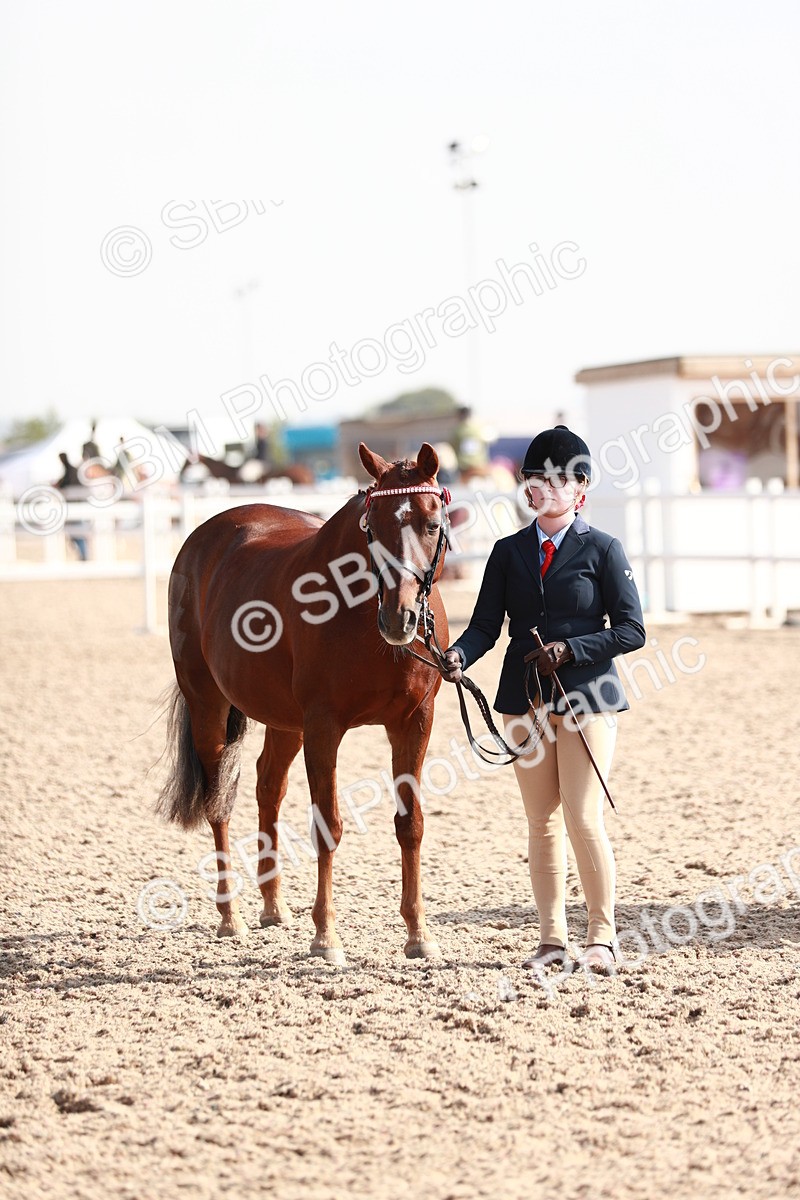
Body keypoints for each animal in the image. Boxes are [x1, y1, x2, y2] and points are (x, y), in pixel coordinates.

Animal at [157, 442, 449, 963]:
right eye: (372, 526)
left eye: (432, 523)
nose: (399, 618)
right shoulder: (323, 726)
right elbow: (328, 824)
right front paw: (326, 936)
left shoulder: (415, 722)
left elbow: (410, 823)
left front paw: (418, 933)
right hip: (208, 703)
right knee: (219, 800)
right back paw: (230, 916)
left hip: (283, 721)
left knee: (267, 787)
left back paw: (273, 906)